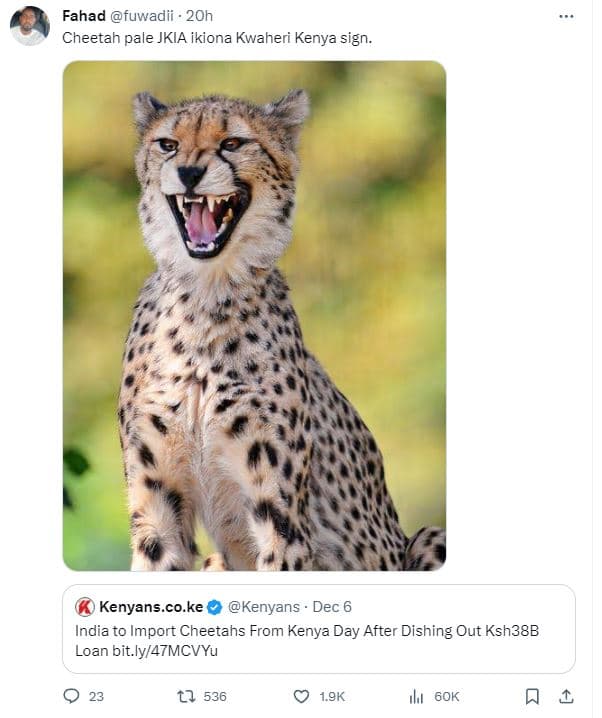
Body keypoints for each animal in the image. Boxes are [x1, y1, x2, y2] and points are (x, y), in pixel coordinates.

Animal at [119, 88, 446, 571]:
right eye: (168, 145)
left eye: (233, 143)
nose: (189, 173)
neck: (205, 297)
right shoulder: (157, 505)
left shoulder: (279, 510)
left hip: (428, 537)